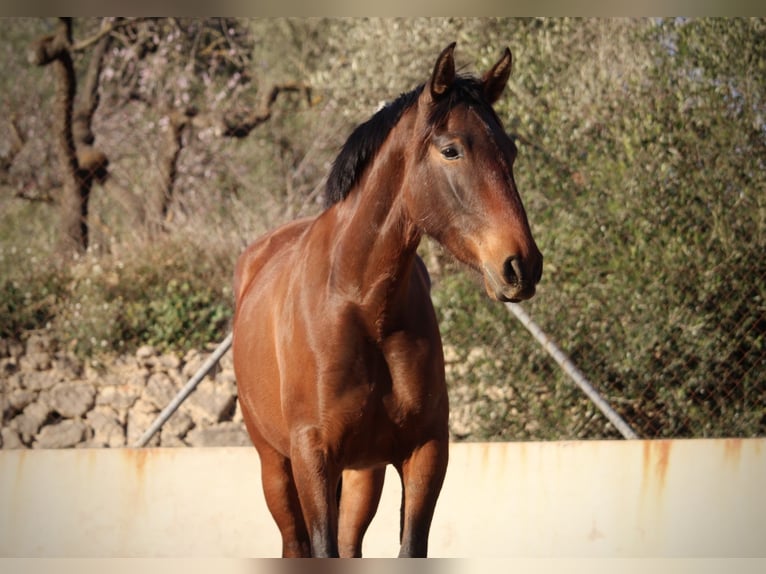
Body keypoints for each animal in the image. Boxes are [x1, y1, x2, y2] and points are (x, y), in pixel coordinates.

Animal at [234, 42, 544, 560]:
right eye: (451, 149)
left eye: (511, 151)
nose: (522, 265)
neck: (362, 305)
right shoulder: (313, 457)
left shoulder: (425, 453)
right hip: (275, 468)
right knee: (295, 542)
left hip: (364, 475)